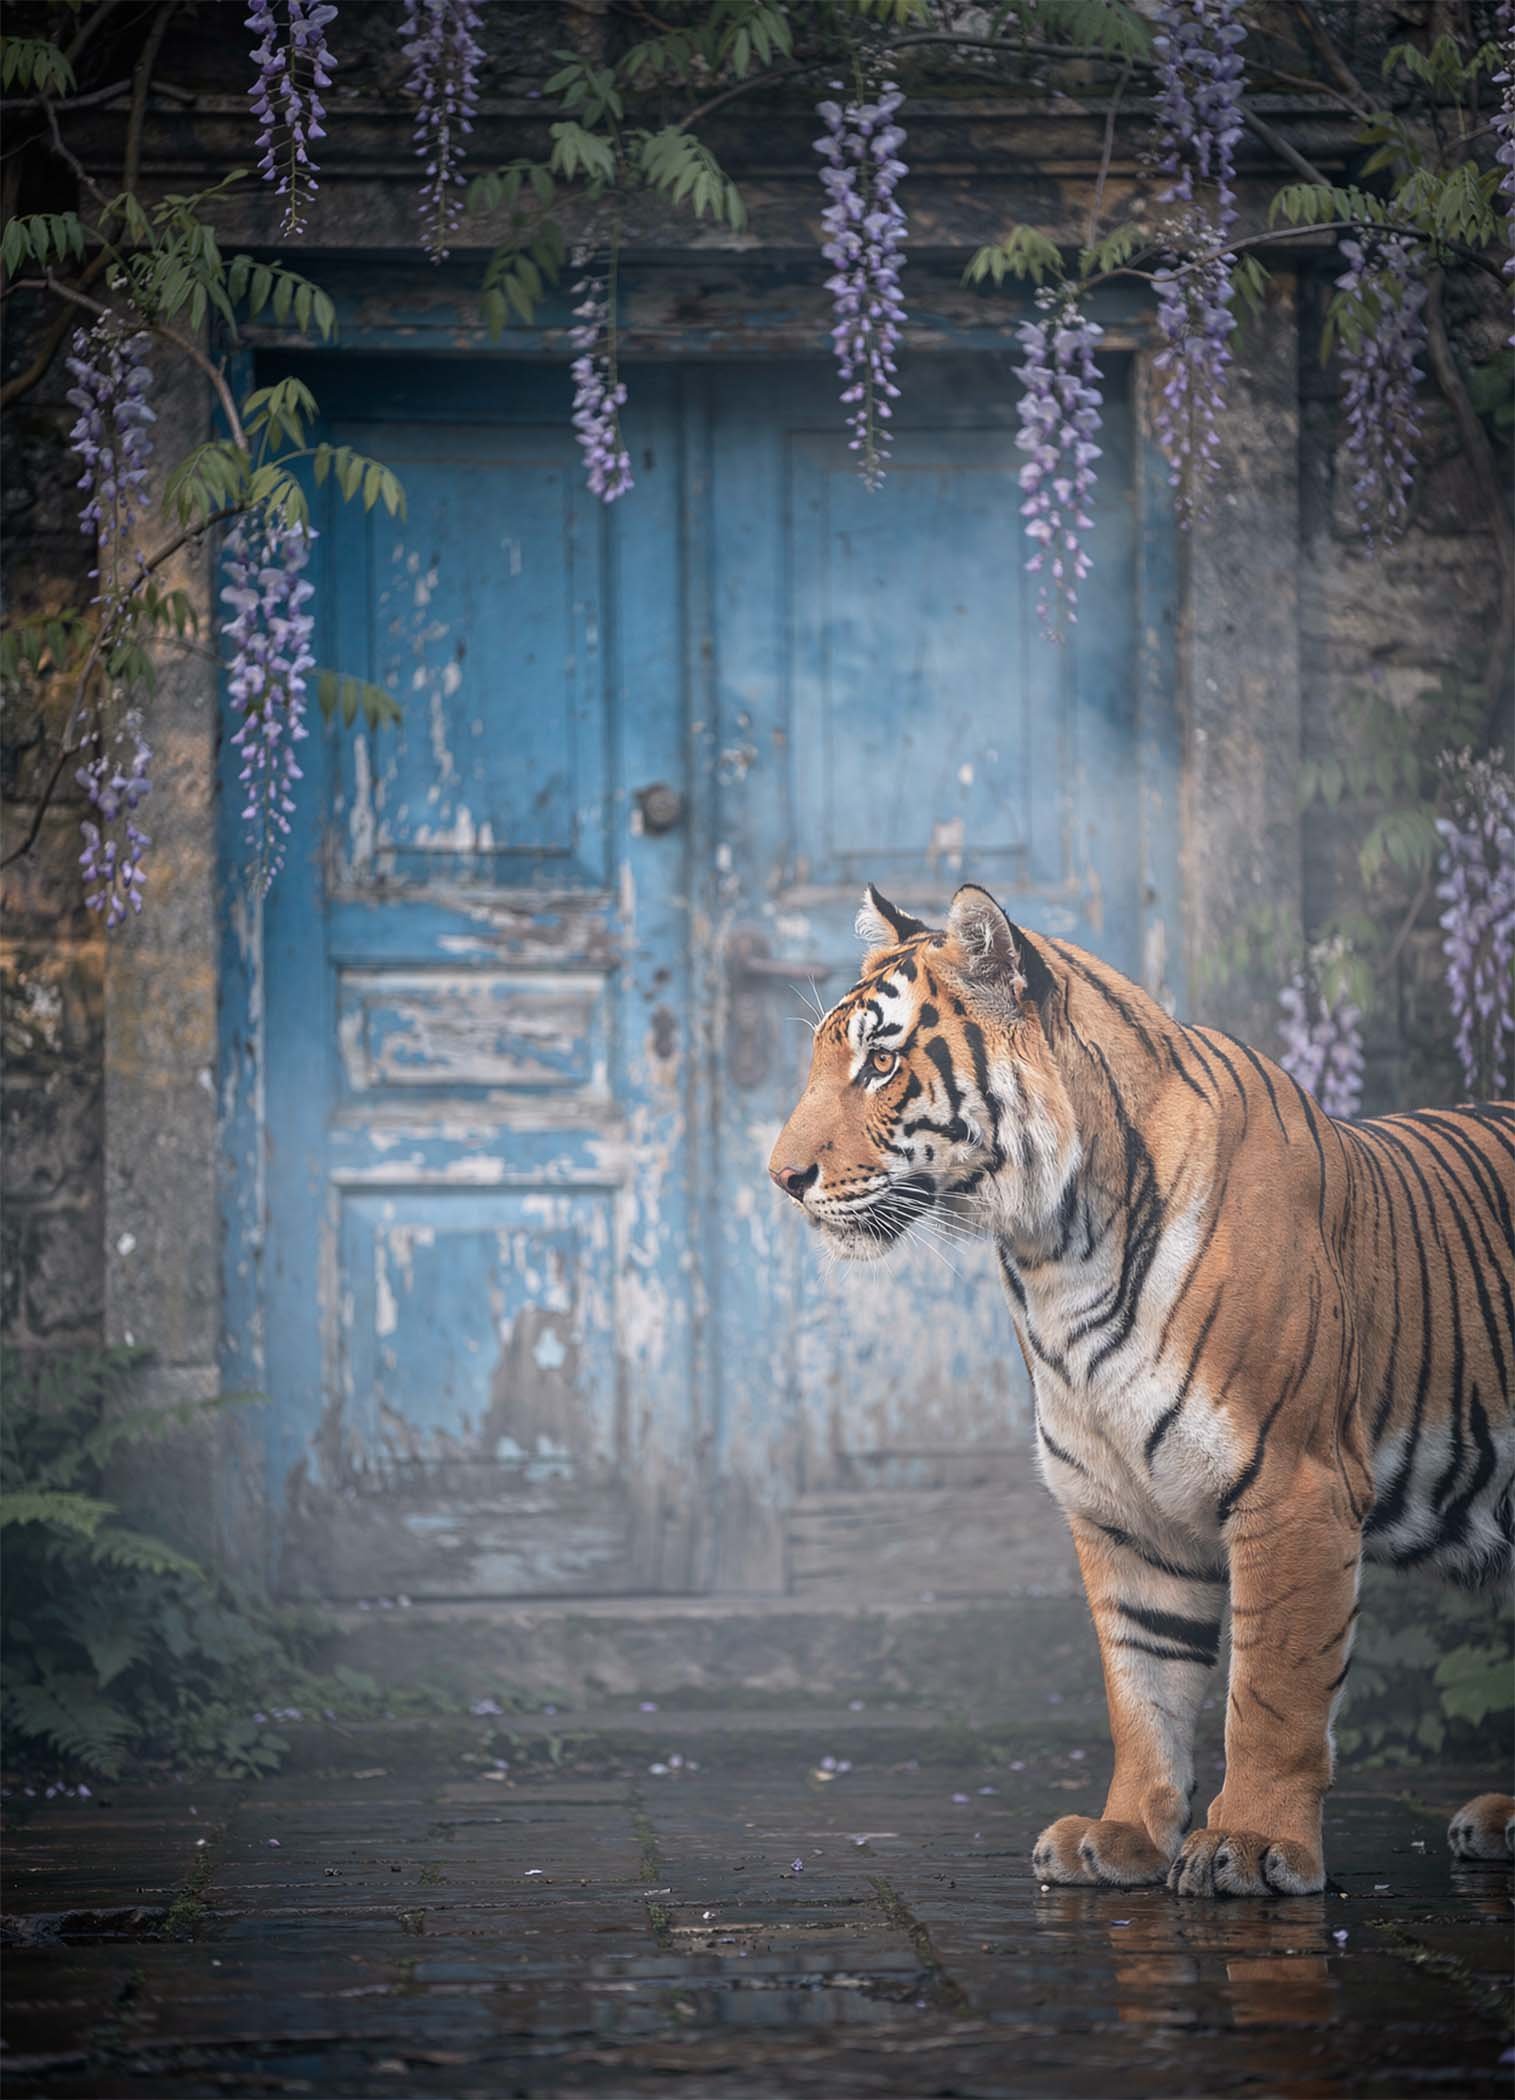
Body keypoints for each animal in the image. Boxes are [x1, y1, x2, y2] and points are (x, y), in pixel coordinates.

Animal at [769, 882, 1515, 1897]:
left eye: (880, 1063)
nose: (779, 1178)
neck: (1053, 1255)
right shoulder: (1118, 1506)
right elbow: (1143, 1684)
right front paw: (1122, 1835)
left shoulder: (1296, 1489)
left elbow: (1271, 1691)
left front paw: (1252, 1844)